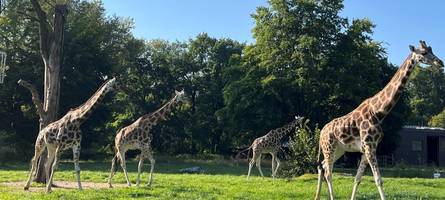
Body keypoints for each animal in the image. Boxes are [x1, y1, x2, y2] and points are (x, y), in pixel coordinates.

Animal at [314, 40, 442, 200]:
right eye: (424, 53)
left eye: (432, 50)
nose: (440, 62)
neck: (378, 112)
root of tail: (321, 133)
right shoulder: (369, 146)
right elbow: (378, 180)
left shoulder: (367, 148)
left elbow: (357, 178)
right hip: (329, 147)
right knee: (328, 172)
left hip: (339, 149)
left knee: (323, 166)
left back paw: (317, 196)